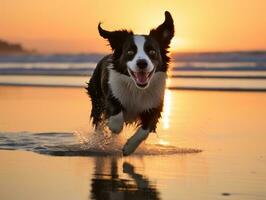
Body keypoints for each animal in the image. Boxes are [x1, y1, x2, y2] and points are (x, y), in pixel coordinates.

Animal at [87, 10, 175, 155]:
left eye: (152, 51)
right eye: (130, 52)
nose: (142, 63)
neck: (137, 88)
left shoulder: (155, 105)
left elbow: (145, 130)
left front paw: (129, 148)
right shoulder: (111, 94)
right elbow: (116, 114)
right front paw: (115, 127)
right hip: (96, 97)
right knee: (98, 120)